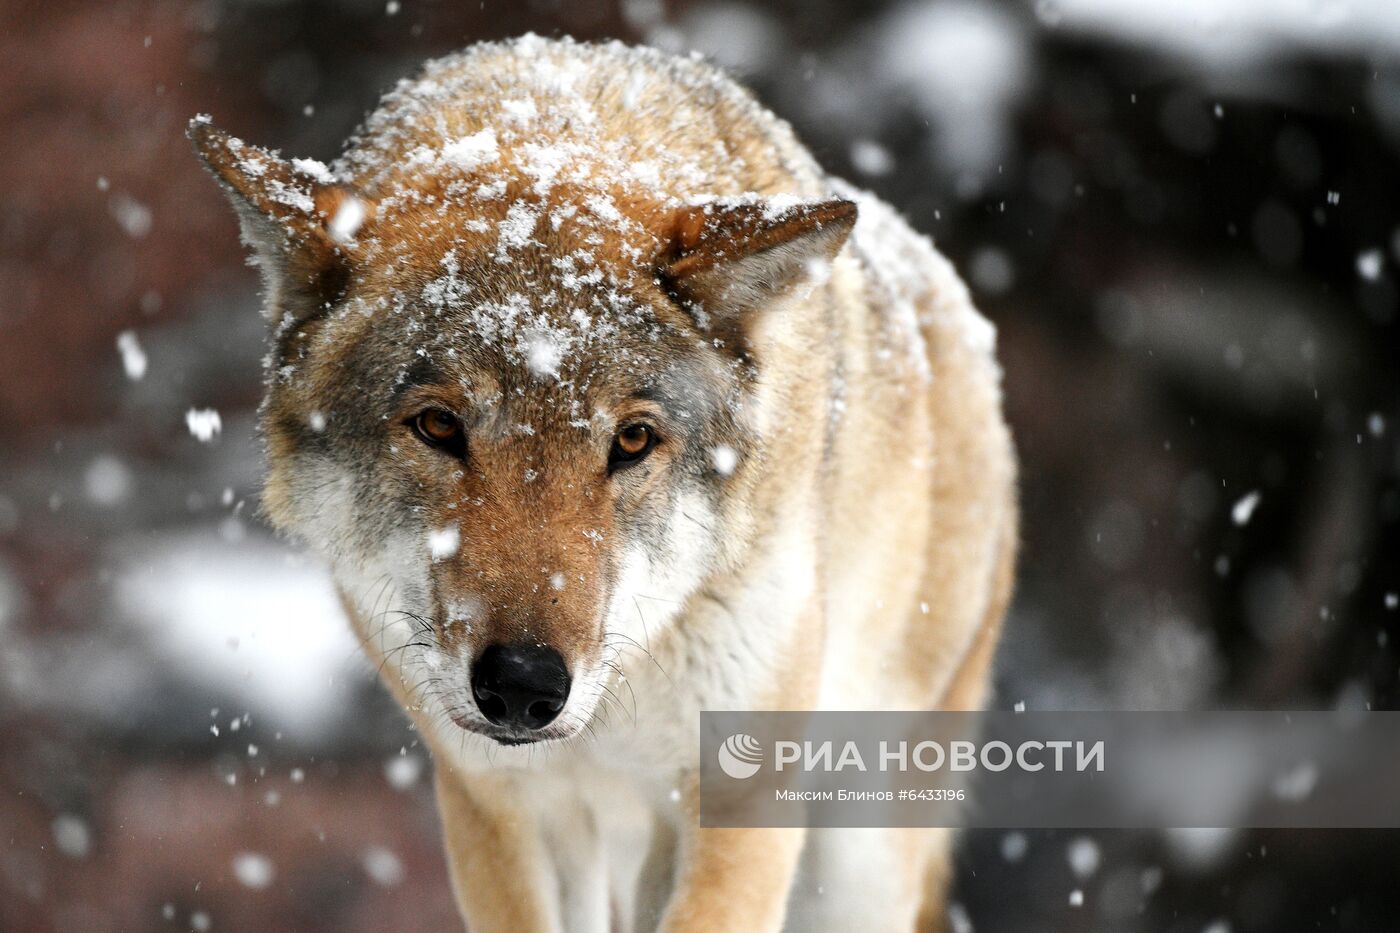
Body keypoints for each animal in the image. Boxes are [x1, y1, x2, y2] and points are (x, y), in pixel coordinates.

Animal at [189, 32, 1019, 924]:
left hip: (859, 858)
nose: (523, 684)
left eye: (632, 440)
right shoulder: (497, 806)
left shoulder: (740, 798)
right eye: (439, 426)